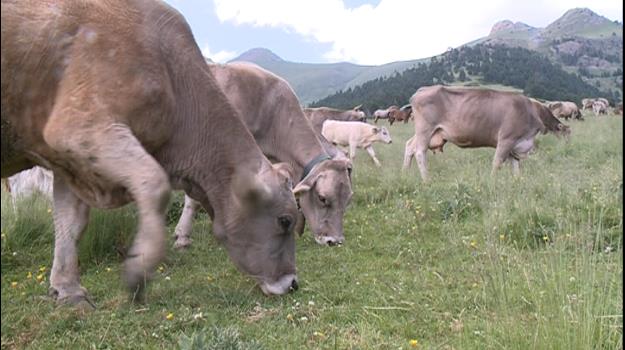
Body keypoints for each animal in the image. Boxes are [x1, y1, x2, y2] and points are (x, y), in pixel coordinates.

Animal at [0, 0, 302, 304]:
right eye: (285, 220)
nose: (292, 283)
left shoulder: (69, 163)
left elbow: (71, 223)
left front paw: (68, 289)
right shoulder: (77, 128)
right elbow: (155, 186)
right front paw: (138, 269)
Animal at [402, 85, 568, 180]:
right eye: (567, 133)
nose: (567, 144)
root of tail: (422, 90)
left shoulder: (516, 144)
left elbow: (516, 167)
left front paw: (517, 182)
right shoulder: (506, 139)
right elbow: (497, 163)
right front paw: (492, 182)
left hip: (429, 133)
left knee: (409, 145)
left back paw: (405, 174)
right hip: (425, 129)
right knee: (419, 152)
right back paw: (426, 180)